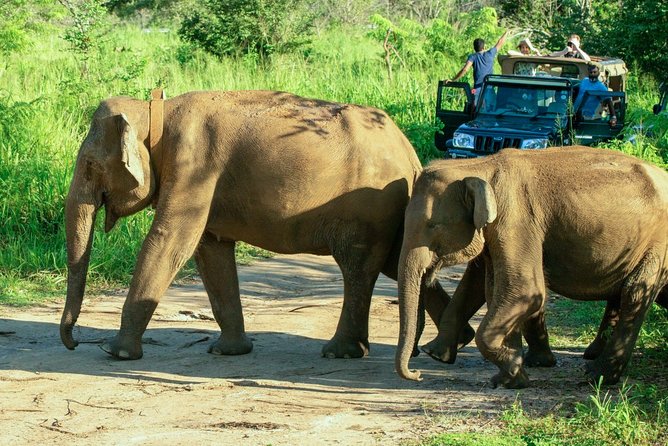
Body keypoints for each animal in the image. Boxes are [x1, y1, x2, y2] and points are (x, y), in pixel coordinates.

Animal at [60, 89, 475, 361]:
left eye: (91, 166)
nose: (74, 342)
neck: (155, 108)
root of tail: (411, 156)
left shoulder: (194, 166)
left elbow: (170, 242)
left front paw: (116, 353)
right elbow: (209, 250)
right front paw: (229, 352)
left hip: (369, 209)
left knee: (358, 268)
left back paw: (341, 353)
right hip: (389, 212)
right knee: (395, 262)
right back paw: (454, 342)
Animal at [395, 146, 668, 388]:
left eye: (433, 226)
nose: (417, 373)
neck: (479, 166)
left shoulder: (516, 219)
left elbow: (524, 290)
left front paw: (513, 371)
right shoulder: (499, 230)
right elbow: (493, 288)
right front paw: (509, 376)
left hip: (657, 243)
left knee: (635, 292)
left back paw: (596, 376)